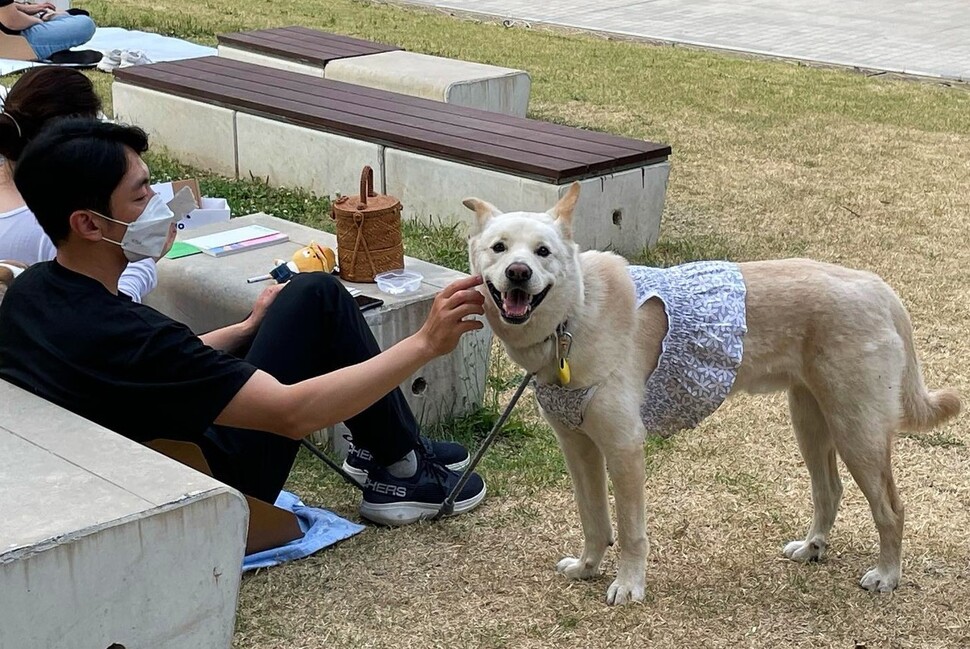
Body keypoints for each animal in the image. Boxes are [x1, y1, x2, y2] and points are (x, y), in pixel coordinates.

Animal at [466, 181, 956, 604]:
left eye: (543, 251)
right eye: (499, 248)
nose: (518, 273)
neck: (576, 312)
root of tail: (877, 287)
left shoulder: (624, 447)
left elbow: (630, 530)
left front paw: (629, 586)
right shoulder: (578, 446)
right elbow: (593, 519)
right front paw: (588, 568)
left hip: (858, 431)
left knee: (891, 509)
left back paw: (887, 575)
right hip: (811, 420)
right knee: (829, 490)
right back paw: (812, 548)